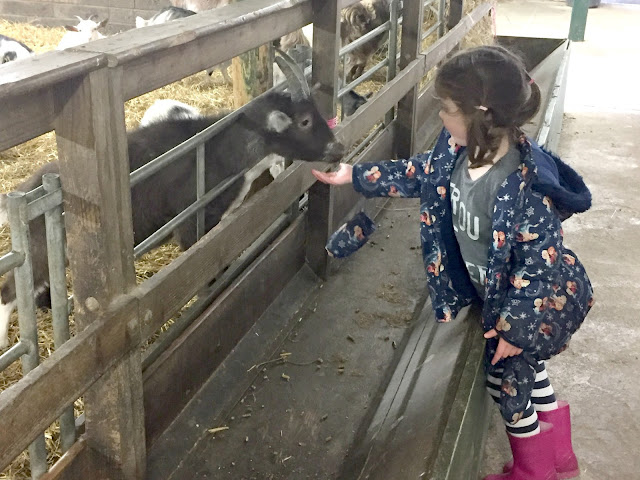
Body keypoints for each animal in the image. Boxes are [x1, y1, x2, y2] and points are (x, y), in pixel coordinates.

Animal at [0, 52, 344, 348]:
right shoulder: (191, 225)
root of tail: (25, 192)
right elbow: (205, 272)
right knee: (8, 291)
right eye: (305, 121)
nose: (338, 149)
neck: (223, 148)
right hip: (40, 249)